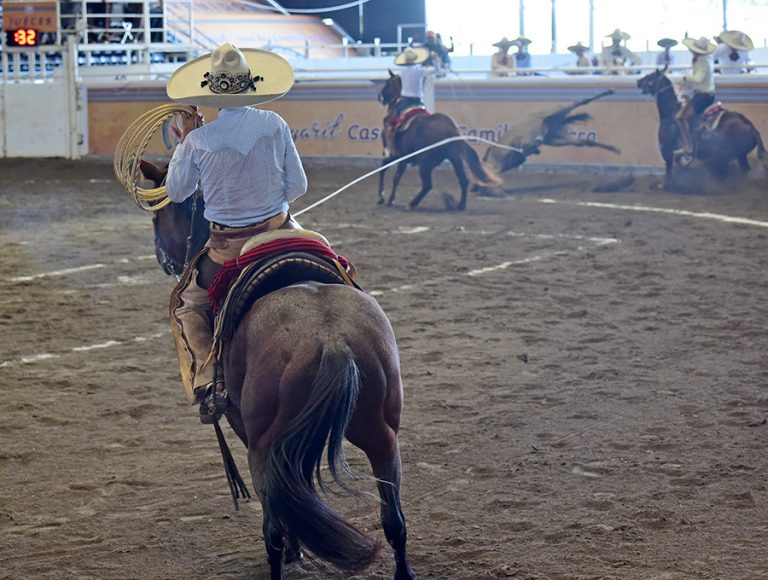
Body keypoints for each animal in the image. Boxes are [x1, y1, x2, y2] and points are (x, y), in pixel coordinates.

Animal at [140, 159, 414, 580]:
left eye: (160, 217)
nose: (161, 257)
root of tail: (331, 337)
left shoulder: (245, 427)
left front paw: (295, 552)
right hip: (382, 435)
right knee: (394, 521)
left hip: (264, 448)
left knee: (274, 526)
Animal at [376, 69, 498, 211]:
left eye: (387, 83)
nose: (379, 96)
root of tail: (451, 129)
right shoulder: (401, 158)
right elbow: (389, 173)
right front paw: (386, 198)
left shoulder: (397, 156)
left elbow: (389, 173)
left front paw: (386, 198)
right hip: (454, 159)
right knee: (463, 180)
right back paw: (460, 205)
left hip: (425, 163)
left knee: (427, 184)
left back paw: (412, 204)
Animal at [636, 68, 768, 188]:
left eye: (650, 76)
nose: (638, 81)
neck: (670, 114)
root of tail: (750, 127)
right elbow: (679, 164)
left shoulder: (667, 152)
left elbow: (669, 172)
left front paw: (665, 185)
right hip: (740, 155)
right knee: (741, 170)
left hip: (729, 155)